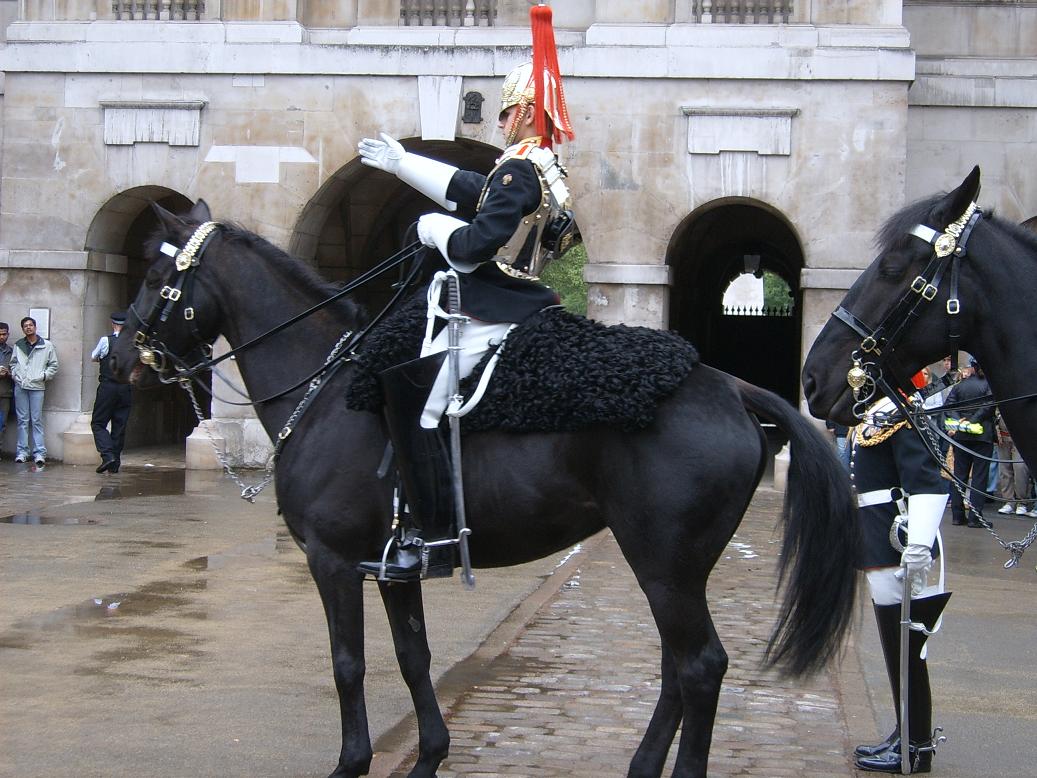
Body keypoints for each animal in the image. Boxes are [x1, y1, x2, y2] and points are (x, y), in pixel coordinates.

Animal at [111, 201, 858, 778]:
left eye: (157, 275)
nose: (118, 359)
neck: (325, 389)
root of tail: (730, 386)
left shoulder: (332, 561)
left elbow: (348, 663)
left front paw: (352, 762)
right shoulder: (391, 564)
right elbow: (412, 657)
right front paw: (428, 756)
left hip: (664, 564)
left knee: (699, 667)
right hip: (676, 569)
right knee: (679, 668)